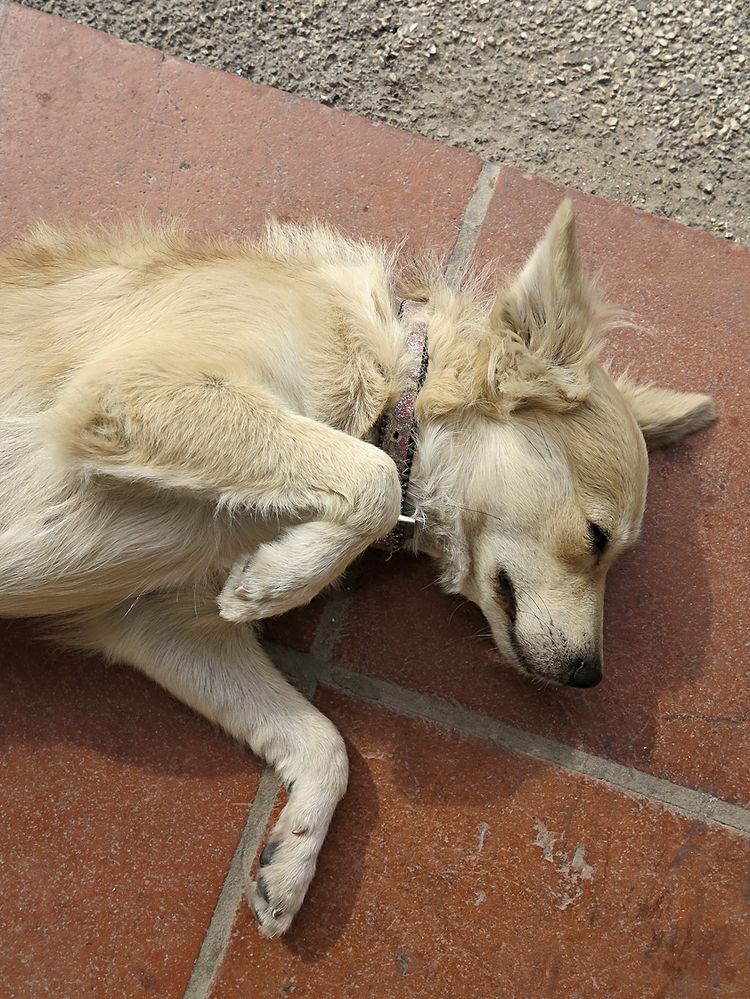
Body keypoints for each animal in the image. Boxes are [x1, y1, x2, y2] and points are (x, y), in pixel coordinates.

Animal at [0, 199, 716, 932]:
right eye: (597, 539)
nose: (588, 676)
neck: (393, 383)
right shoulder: (129, 389)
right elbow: (374, 476)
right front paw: (280, 581)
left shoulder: (161, 625)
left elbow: (323, 742)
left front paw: (293, 857)